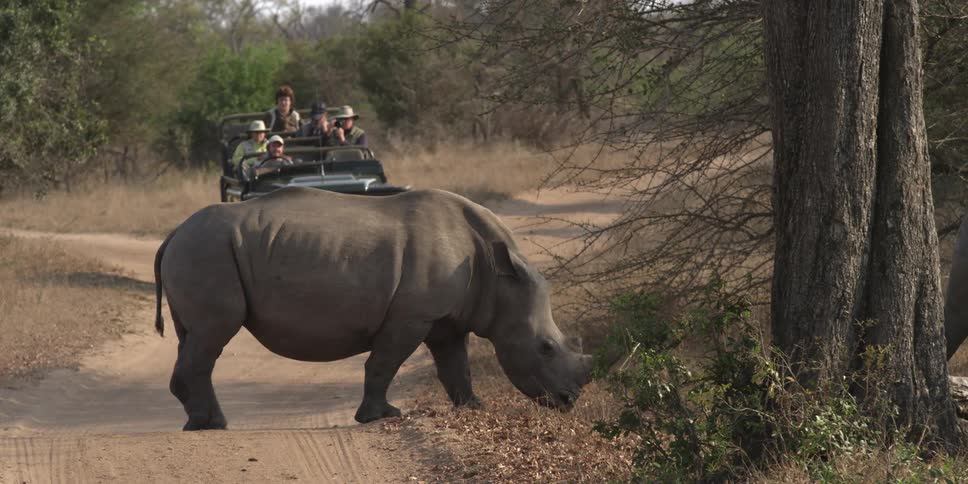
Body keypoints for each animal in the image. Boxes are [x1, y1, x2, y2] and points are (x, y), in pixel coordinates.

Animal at [154, 187, 593, 430]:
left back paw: (201, 422)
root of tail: (172, 233)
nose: (569, 400)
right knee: (214, 333)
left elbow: (456, 366)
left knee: (192, 337)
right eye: (546, 348)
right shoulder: (412, 315)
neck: (499, 278)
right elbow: (385, 363)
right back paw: (213, 425)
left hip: (201, 250)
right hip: (206, 251)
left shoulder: (446, 319)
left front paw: (474, 407)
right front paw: (383, 416)